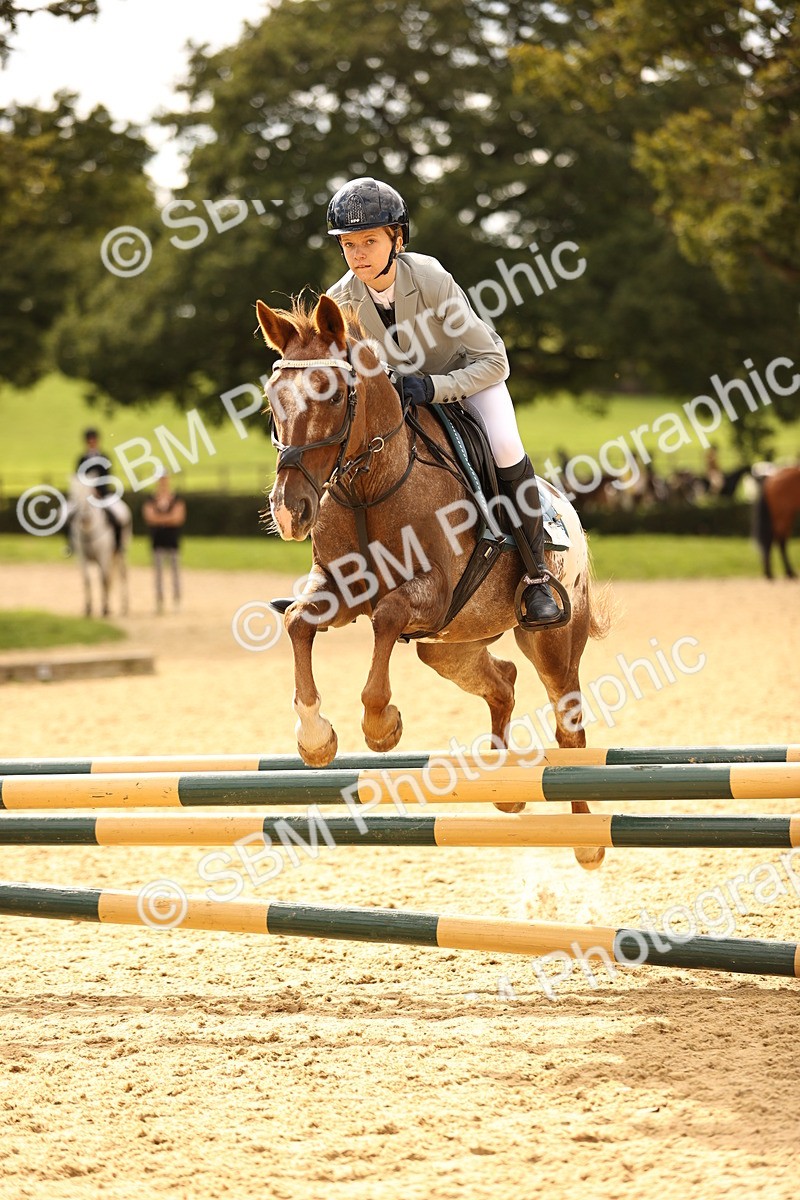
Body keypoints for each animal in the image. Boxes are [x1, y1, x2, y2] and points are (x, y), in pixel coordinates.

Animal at [67, 476, 132, 616]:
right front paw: (88, 608)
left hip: (120, 553)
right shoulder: (83, 558)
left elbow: (104, 579)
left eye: (89, 494)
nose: (84, 517)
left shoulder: (103, 556)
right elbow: (87, 579)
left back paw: (125, 607)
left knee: (122, 575)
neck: (88, 530)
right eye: (73, 495)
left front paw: (105, 609)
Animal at [256, 295, 611, 869]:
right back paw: (506, 791)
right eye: (272, 400)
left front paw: (381, 725)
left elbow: (386, 617)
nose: (290, 513)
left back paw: (585, 837)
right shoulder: (338, 590)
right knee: (503, 681)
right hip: (449, 647)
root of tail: (567, 508)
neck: (367, 488)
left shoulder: (433, 593)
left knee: (568, 724)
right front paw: (315, 738)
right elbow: (297, 623)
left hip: (552, 640)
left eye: (331, 396)